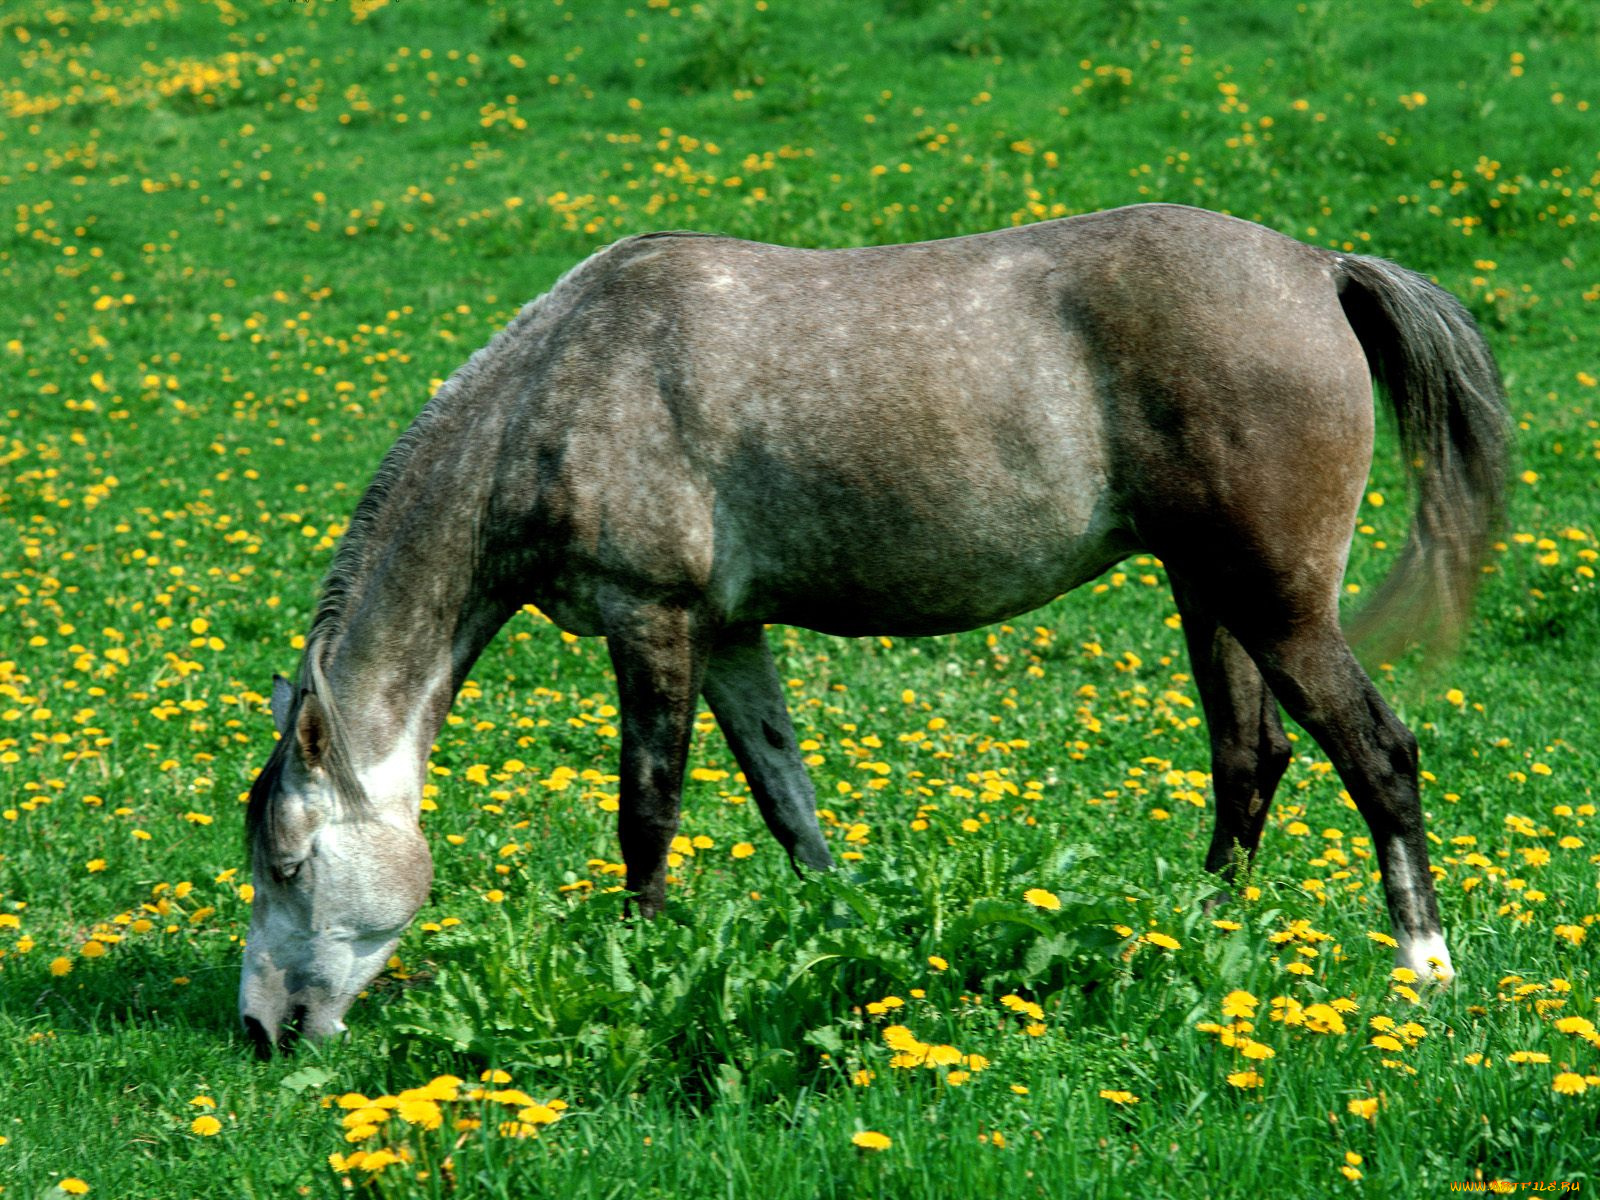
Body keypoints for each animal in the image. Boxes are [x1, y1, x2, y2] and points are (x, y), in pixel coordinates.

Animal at [236, 206, 1510, 1062]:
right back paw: (1198, 945)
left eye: (290, 862)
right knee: (1251, 762)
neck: (565, 387)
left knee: (1376, 754)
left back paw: (1425, 968)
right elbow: (788, 807)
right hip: (1213, 598)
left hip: (1278, 606)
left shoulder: (652, 625)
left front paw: (640, 966)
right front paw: (851, 938)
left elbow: (646, 814)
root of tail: (1322, 271)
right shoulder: (731, 636)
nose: (261, 1032)